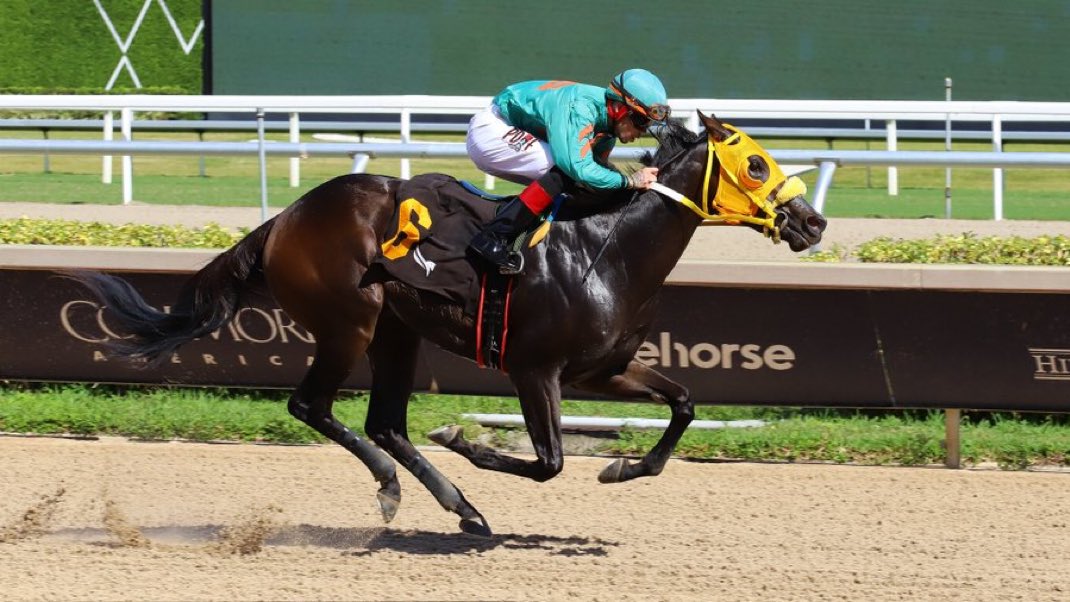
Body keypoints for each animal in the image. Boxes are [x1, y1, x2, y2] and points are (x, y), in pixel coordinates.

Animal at [69, 112, 826, 537]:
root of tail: (286, 217)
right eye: (756, 163)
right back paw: (400, 489)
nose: (813, 221)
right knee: (312, 406)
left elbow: (685, 404)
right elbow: (548, 463)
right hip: (350, 323)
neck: (606, 246)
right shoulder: (534, 368)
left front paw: (620, 468)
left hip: (397, 331)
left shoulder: (602, 367)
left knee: (383, 423)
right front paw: (466, 438)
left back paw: (461, 508)